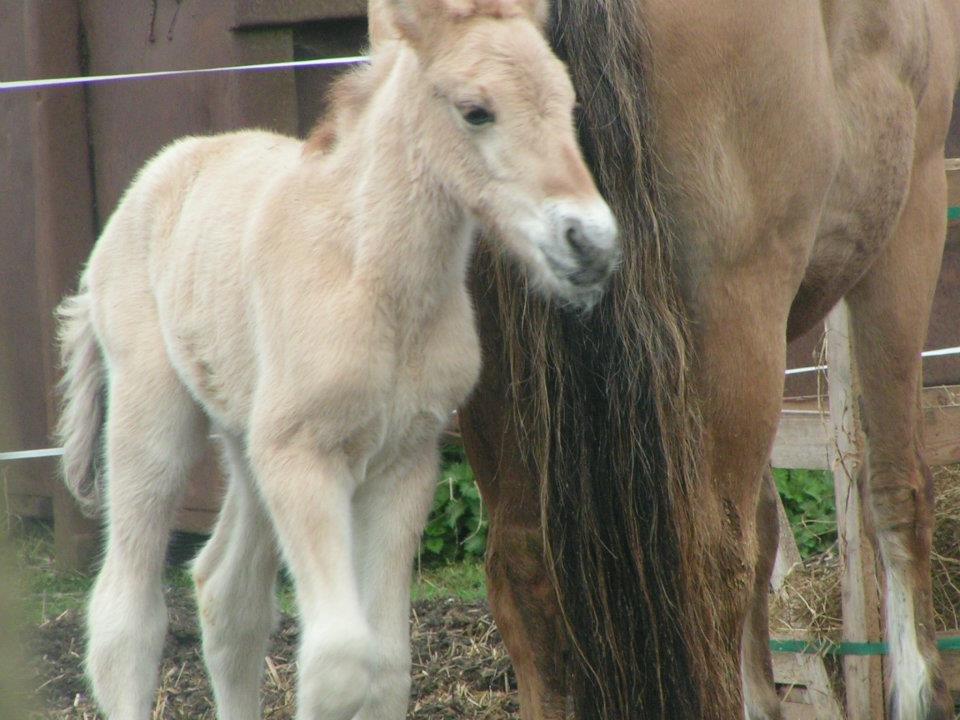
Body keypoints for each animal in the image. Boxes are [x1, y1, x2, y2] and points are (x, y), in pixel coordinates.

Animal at [56, 1, 620, 720]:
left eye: (567, 102)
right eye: (476, 111)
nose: (590, 242)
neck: (373, 281)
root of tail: (158, 172)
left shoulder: (403, 463)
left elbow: (388, 668)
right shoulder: (305, 458)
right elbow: (341, 664)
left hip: (247, 438)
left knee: (227, 596)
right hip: (152, 416)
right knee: (126, 615)